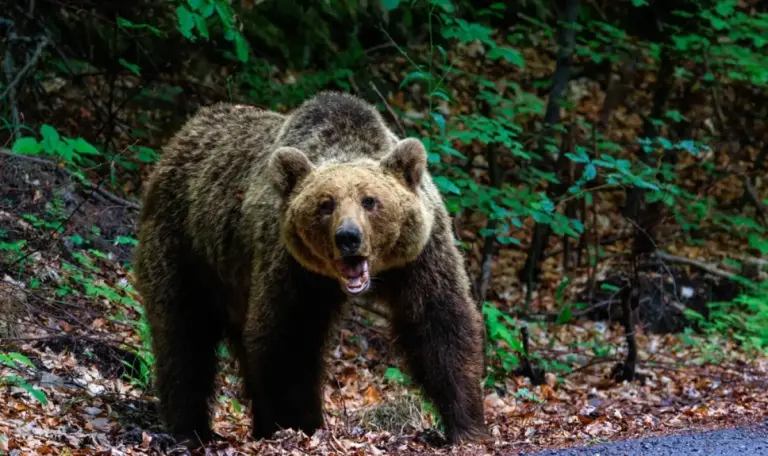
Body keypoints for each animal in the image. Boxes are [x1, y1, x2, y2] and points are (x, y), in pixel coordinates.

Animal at [131, 91, 487, 446]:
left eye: (370, 201)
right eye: (326, 204)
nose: (348, 237)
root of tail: (180, 137)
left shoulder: (420, 256)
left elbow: (440, 324)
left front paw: (466, 425)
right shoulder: (292, 267)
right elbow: (289, 339)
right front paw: (301, 424)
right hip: (186, 249)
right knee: (183, 336)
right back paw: (191, 429)